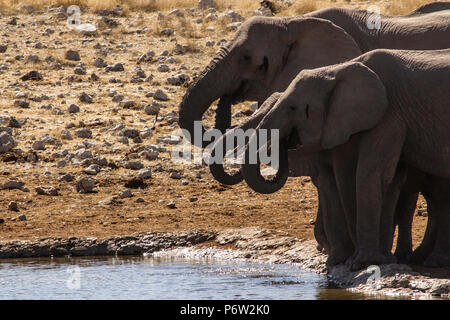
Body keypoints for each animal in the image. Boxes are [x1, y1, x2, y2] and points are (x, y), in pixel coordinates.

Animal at [241, 48, 450, 268]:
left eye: (292, 108)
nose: (285, 141)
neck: (337, 69)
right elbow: (351, 180)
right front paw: (347, 261)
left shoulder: (388, 115)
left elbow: (366, 174)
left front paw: (363, 263)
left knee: (440, 197)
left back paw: (431, 261)